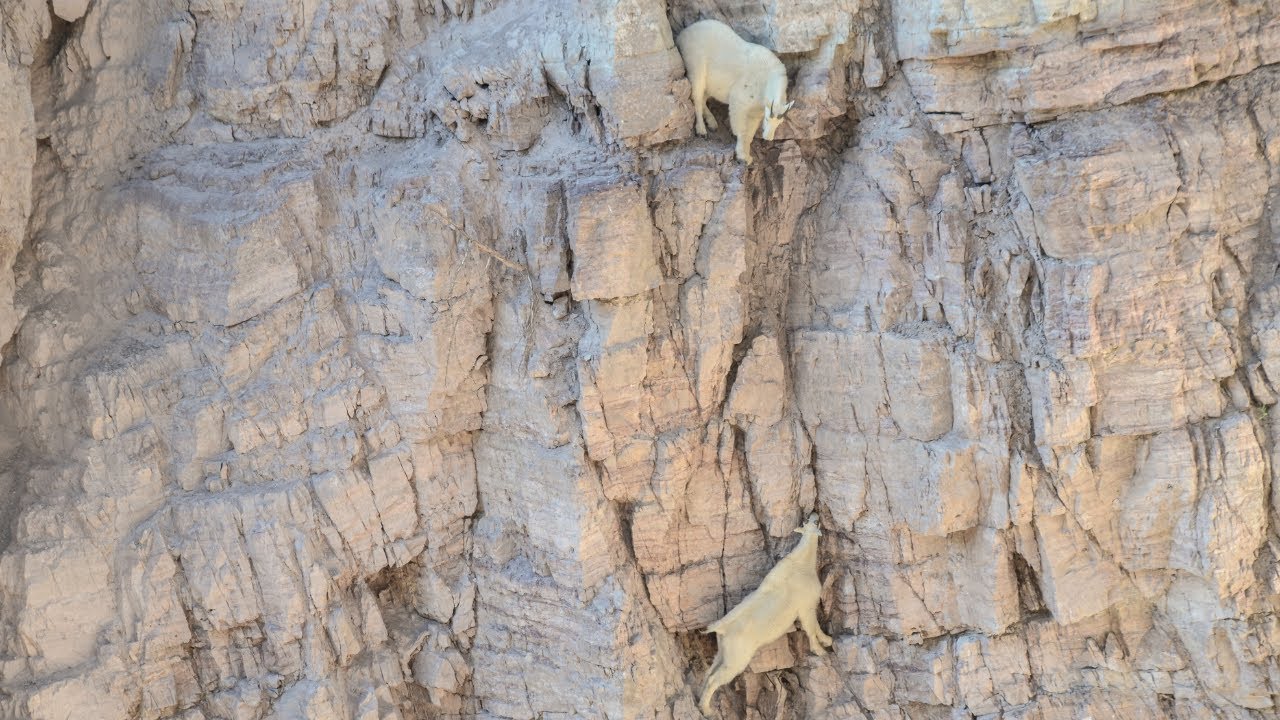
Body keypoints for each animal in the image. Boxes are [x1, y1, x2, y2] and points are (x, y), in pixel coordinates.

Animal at [675, 18, 794, 166]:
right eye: (767, 118)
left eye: (780, 123)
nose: (768, 137)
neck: (767, 80)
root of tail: (683, 34)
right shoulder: (740, 101)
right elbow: (741, 129)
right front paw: (741, 156)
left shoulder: (756, 110)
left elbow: (750, 134)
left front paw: (746, 156)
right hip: (695, 65)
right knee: (696, 96)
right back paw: (701, 130)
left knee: (703, 98)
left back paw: (712, 122)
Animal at [699, 514, 832, 714]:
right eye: (812, 523)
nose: (815, 514)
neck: (803, 563)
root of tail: (720, 628)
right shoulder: (805, 606)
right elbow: (810, 627)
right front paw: (820, 650)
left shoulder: (808, 606)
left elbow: (814, 626)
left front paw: (827, 640)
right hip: (738, 655)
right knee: (717, 677)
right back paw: (706, 709)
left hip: (724, 650)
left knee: (710, 672)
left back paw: (702, 702)